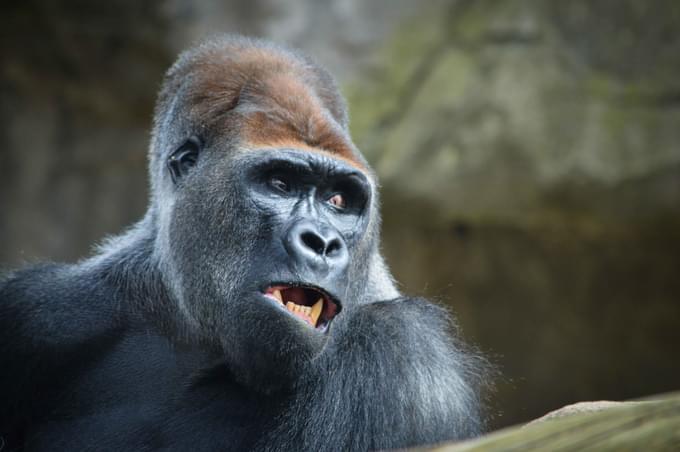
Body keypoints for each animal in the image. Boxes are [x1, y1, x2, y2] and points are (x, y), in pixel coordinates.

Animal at [0, 36, 484, 452]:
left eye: (339, 200)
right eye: (280, 183)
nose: (323, 242)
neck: (188, 328)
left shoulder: (410, 363)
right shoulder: (42, 313)